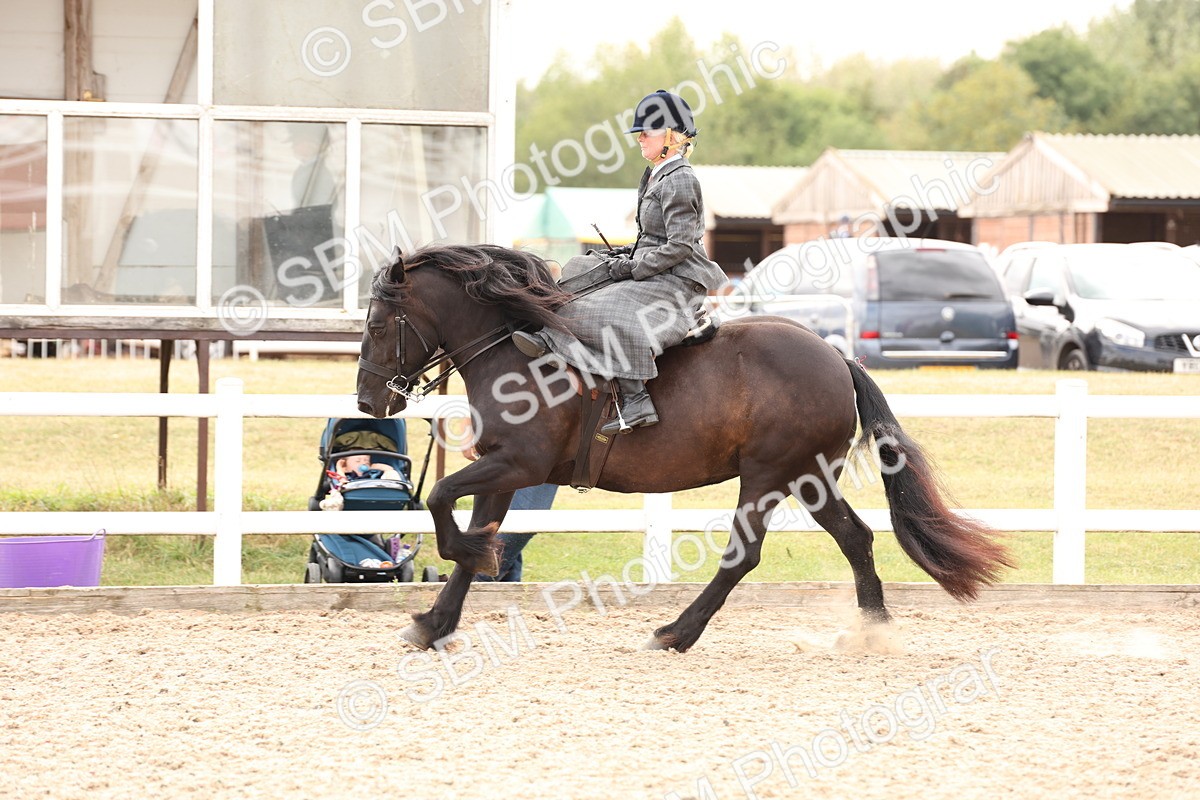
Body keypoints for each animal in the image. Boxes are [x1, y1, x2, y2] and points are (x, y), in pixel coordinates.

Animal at [356, 244, 1013, 652]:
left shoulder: (517, 464)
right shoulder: (503, 469)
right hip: (810, 479)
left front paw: (467, 565)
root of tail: (833, 353)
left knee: (743, 556)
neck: (514, 348)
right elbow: (469, 534)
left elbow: (441, 501)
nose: (367, 400)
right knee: (857, 539)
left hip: (767, 475)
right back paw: (873, 631)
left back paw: (675, 632)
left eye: (378, 324)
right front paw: (435, 621)